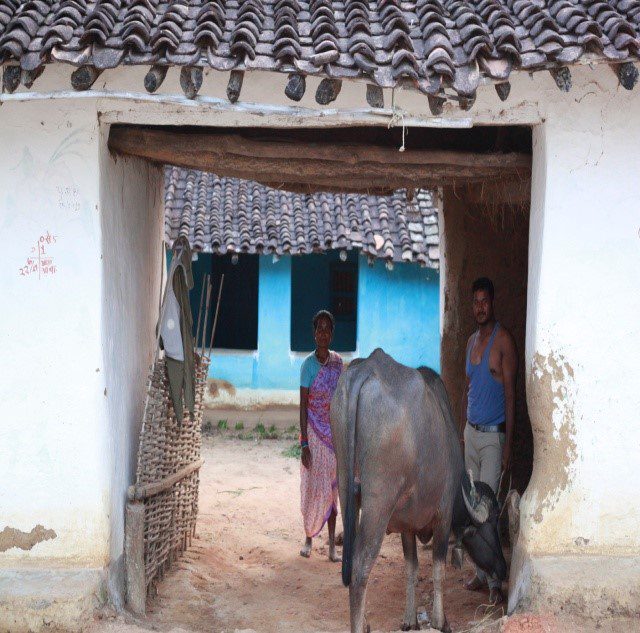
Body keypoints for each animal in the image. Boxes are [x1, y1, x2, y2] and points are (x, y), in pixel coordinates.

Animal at [330, 348, 504, 632]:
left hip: (346, 488)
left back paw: (365, 623)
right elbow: (438, 569)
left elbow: (411, 567)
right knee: (360, 568)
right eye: (490, 527)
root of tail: (367, 369)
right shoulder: (443, 517)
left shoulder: (407, 526)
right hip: (378, 504)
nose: (503, 567)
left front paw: (409, 618)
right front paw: (440, 620)